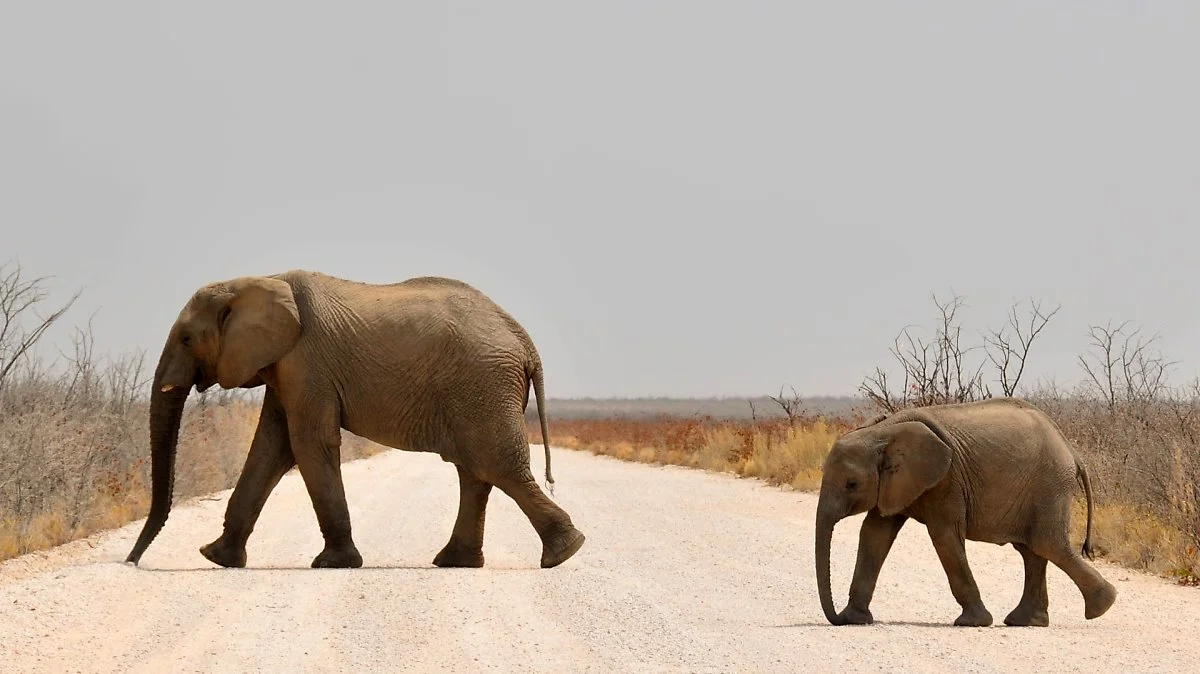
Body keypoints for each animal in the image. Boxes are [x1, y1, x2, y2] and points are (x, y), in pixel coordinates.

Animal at [123, 270, 586, 570]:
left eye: (186, 339)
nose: (131, 562)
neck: (258, 279)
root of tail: (525, 342)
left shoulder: (307, 361)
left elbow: (307, 444)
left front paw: (334, 564)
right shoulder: (286, 366)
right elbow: (271, 448)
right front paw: (217, 557)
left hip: (483, 384)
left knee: (495, 465)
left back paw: (564, 552)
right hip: (481, 389)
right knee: (475, 471)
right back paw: (458, 562)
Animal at [815, 397, 1117, 627]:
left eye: (851, 484)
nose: (836, 618)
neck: (883, 431)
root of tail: (1072, 452)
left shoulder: (946, 480)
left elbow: (944, 537)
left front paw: (973, 623)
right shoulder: (898, 484)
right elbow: (874, 534)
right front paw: (854, 619)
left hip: (1049, 485)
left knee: (1047, 545)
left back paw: (1102, 605)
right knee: (1033, 551)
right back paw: (1027, 621)